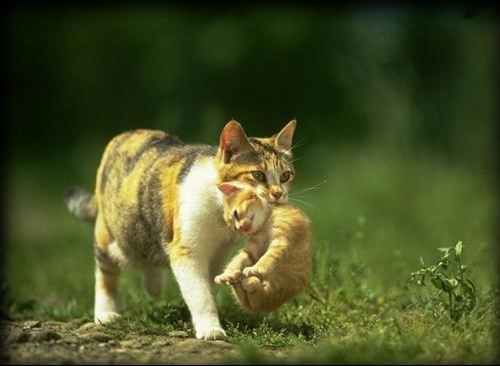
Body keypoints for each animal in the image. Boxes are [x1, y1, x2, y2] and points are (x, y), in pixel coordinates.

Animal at [63, 120, 296, 340]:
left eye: (285, 176)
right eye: (258, 175)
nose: (278, 193)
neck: (220, 213)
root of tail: (123, 135)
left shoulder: (220, 253)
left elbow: (209, 286)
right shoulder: (186, 251)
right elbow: (200, 293)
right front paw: (210, 329)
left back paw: (153, 285)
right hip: (112, 238)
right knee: (106, 272)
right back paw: (106, 314)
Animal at [216, 182, 312, 312]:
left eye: (235, 214)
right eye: (234, 227)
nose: (240, 229)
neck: (270, 215)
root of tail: (268, 307)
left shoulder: (280, 241)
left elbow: (268, 256)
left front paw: (256, 268)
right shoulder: (254, 245)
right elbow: (240, 258)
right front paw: (227, 274)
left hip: (275, 288)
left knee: (259, 295)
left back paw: (249, 280)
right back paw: (236, 279)